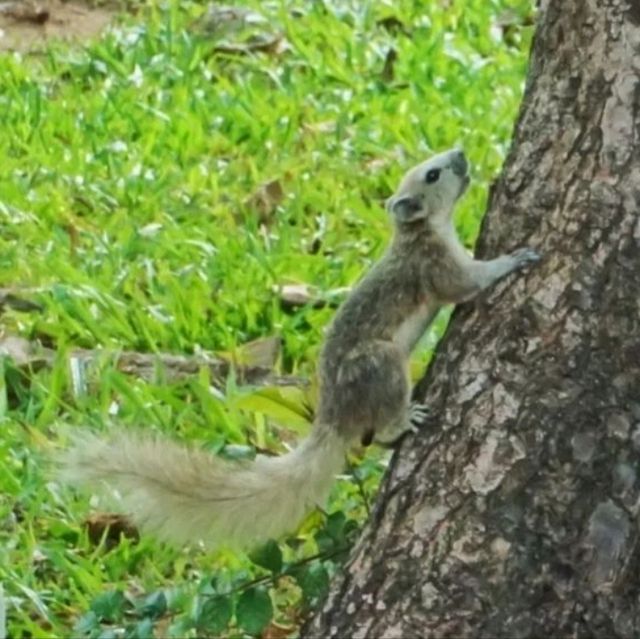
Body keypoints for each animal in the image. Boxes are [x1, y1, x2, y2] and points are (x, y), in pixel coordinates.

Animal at [58, 149, 540, 552]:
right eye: (433, 174)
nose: (459, 154)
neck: (418, 231)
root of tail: (334, 415)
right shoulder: (435, 266)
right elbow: (467, 284)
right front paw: (514, 259)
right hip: (380, 362)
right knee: (380, 423)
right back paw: (404, 419)